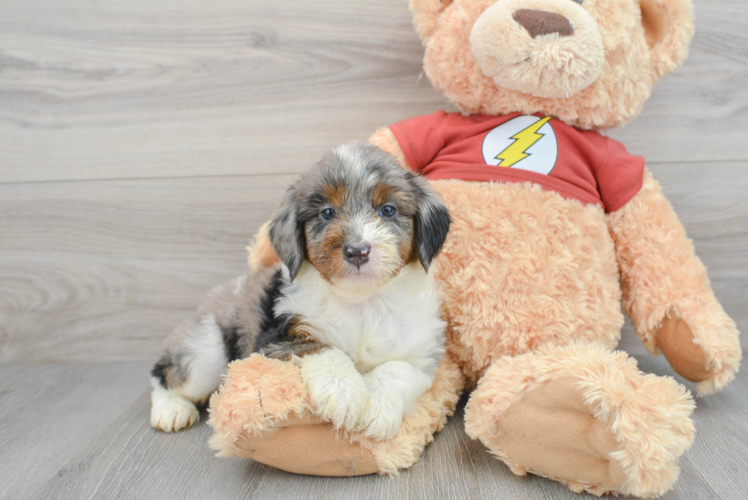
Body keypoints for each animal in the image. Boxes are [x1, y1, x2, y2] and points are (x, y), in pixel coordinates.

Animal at [149, 143, 448, 440]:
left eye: (387, 210)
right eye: (327, 212)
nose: (357, 251)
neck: (362, 302)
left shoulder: (421, 355)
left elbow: (398, 369)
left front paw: (377, 406)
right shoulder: (273, 341)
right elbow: (321, 348)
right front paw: (343, 391)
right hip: (205, 350)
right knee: (164, 374)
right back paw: (171, 409)